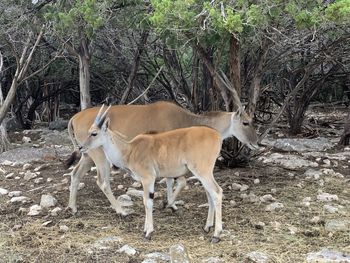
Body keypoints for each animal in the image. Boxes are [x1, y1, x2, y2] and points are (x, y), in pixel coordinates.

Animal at [65, 101, 258, 217]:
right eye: (245, 122)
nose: (257, 143)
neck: (186, 119)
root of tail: (74, 117)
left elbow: (173, 181)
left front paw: (170, 203)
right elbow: (176, 181)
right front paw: (168, 204)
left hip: (87, 155)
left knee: (75, 174)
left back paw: (72, 207)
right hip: (99, 157)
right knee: (103, 182)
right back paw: (121, 211)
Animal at [80, 105, 224, 243]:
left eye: (94, 133)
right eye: (88, 132)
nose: (81, 147)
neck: (130, 150)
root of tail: (217, 135)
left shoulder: (148, 178)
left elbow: (147, 202)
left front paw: (148, 232)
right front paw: (145, 229)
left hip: (202, 171)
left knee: (217, 192)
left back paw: (216, 235)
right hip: (204, 174)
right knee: (210, 194)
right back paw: (207, 227)